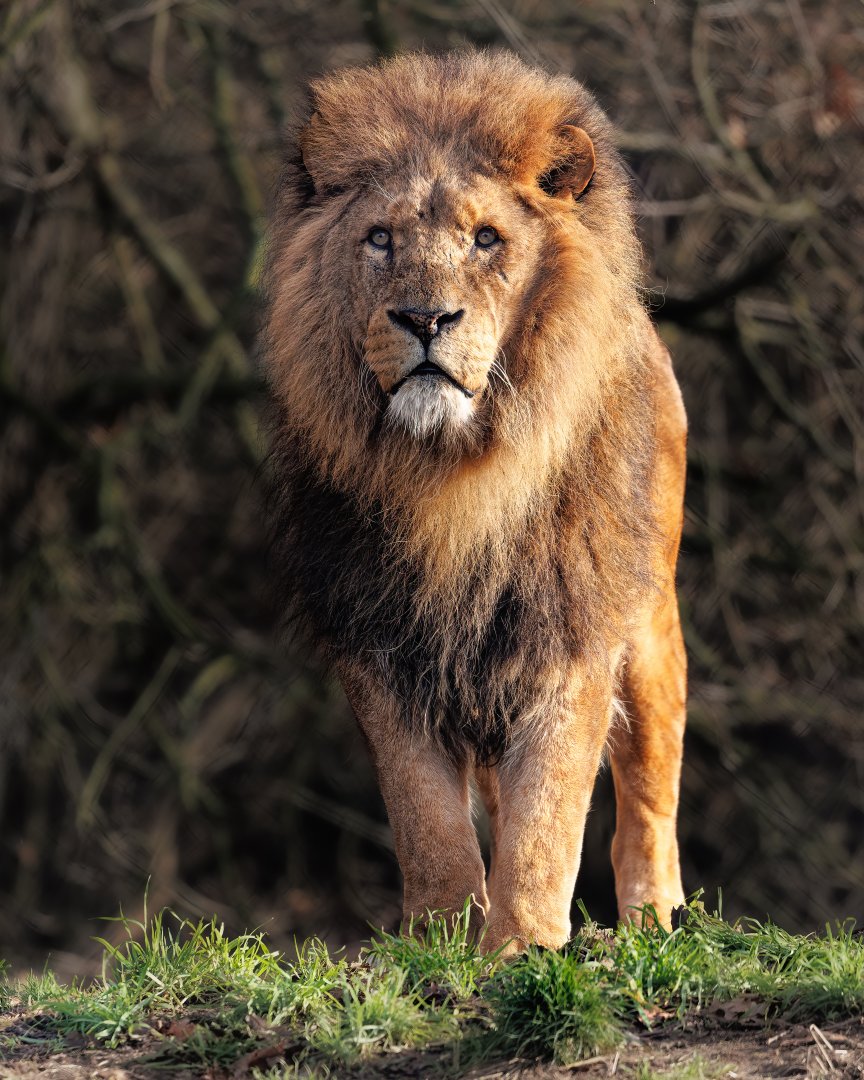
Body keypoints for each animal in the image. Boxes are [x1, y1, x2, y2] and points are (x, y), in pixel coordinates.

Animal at [263, 50, 687, 954]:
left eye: (487, 238)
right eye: (380, 238)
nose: (425, 318)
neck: (451, 475)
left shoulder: (571, 633)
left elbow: (549, 815)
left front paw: (523, 946)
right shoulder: (379, 643)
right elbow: (425, 814)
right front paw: (440, 938)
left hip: (649, 625)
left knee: (649, 787)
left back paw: (655, 918)